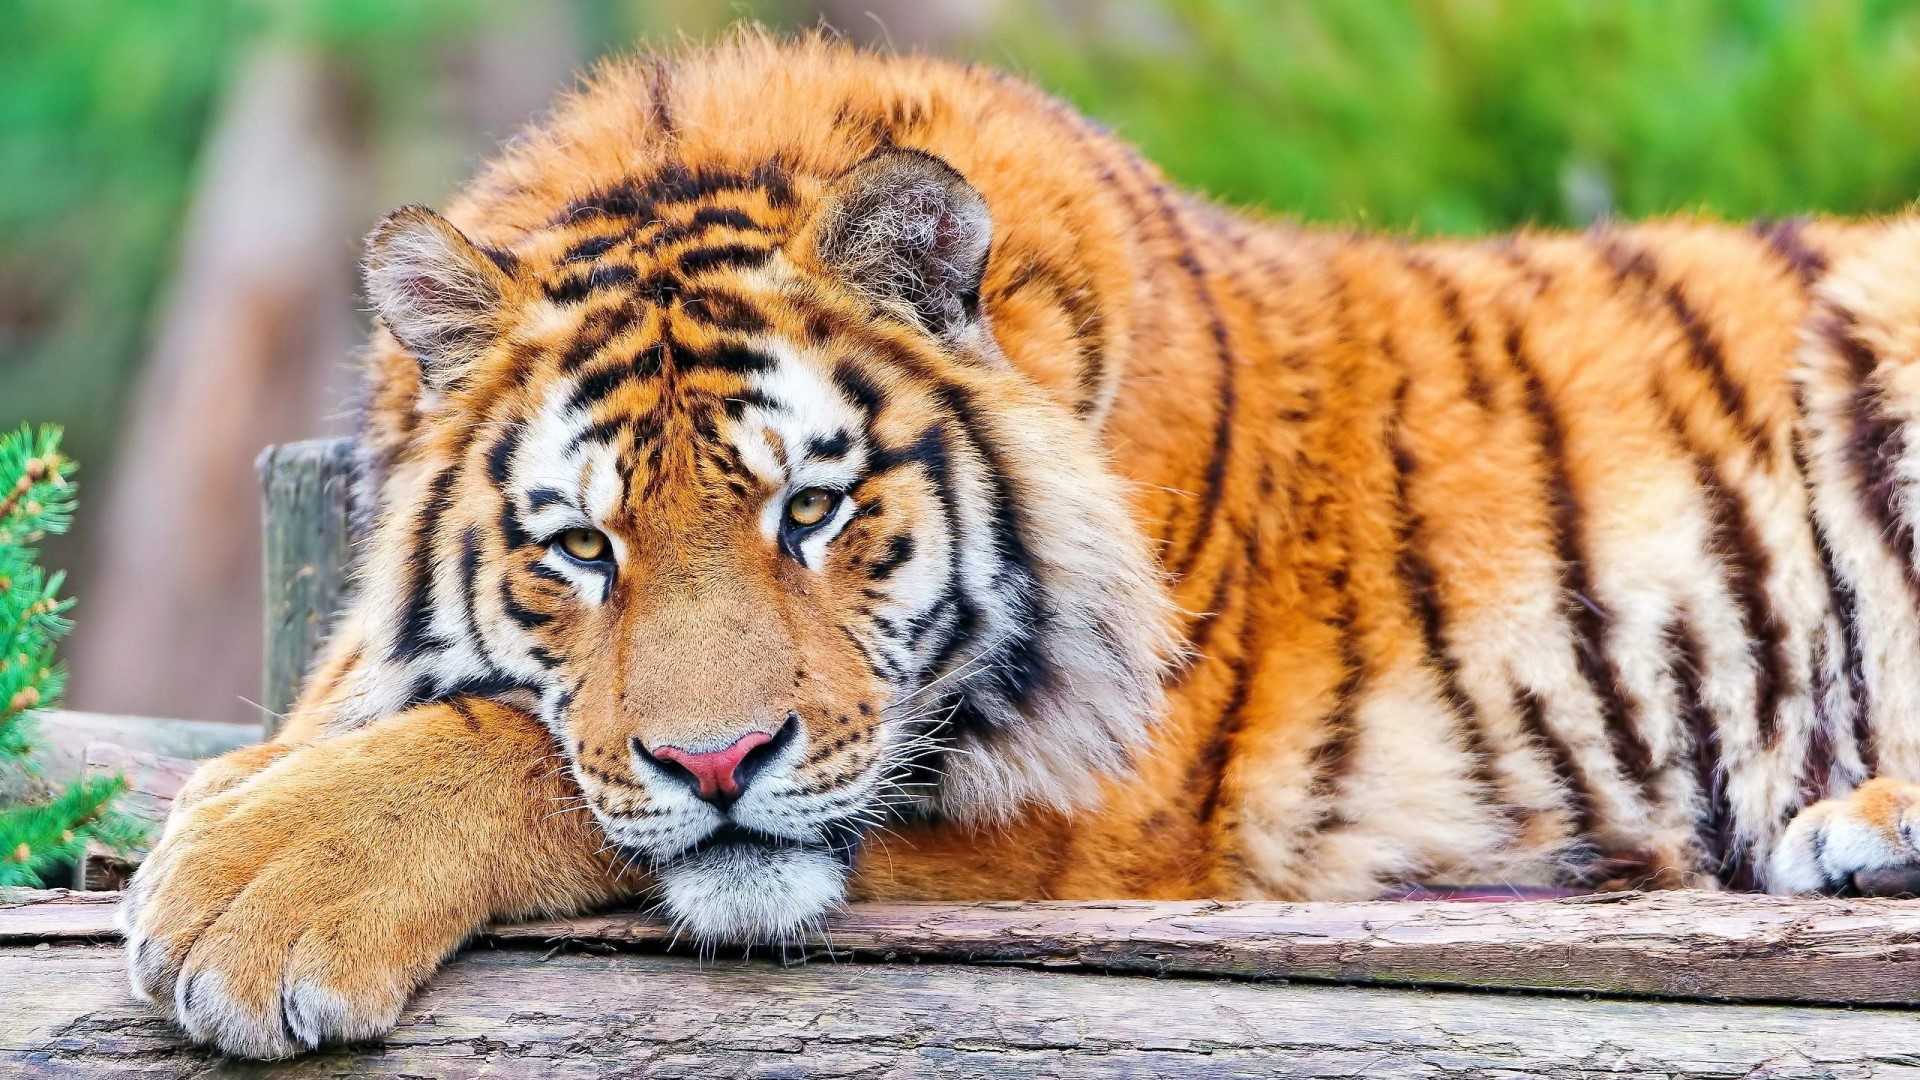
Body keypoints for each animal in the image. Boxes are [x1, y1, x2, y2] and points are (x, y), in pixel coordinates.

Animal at [118, 31, 1920, 1058]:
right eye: (582, 550)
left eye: (813, 510)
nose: (719, 763)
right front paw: (243, 791)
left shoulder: (1089, 801)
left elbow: (524, 753)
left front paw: (251, 888)